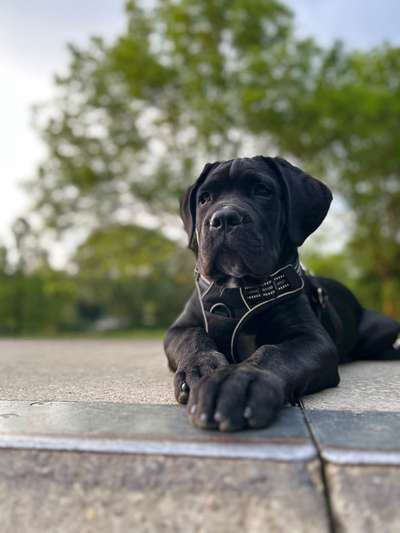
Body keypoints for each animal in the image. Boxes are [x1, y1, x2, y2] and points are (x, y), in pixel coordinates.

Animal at [163, 156, 400, 430]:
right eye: (204, 198)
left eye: (262, 190)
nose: (223, 218)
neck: (239, 291)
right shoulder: (179, 328)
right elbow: (193, 338)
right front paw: (201, 368)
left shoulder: (312, 339)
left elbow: (274, 353)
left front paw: (239, 381)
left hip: (383, 325)